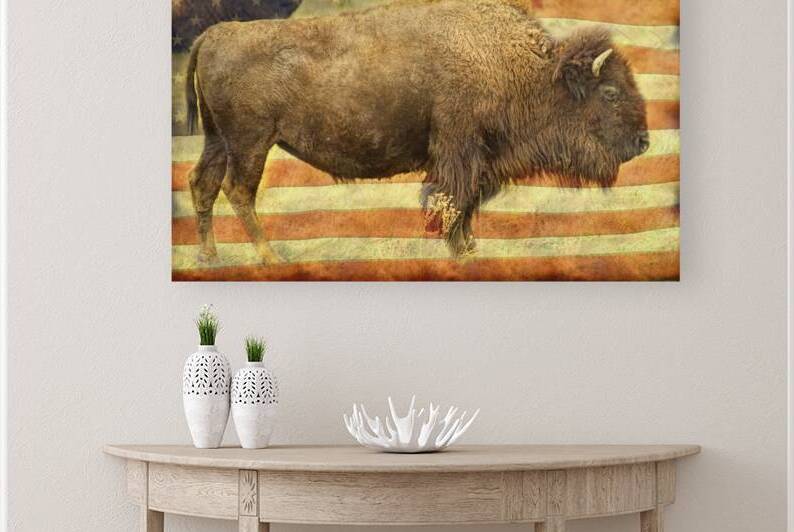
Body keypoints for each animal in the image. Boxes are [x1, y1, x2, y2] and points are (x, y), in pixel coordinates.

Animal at [185, 0, 649, 264]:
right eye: (609, 92)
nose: (644, 142)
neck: (523, 70)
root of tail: (215, 34)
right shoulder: (460, 151)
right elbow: (453, 201)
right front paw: (459, 251)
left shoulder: (477, 159)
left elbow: (466, 204)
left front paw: (470, 248)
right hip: (250, 143)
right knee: (238, 190)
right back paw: (270, 258)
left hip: (218, 140)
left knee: (201, 183)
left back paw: (209, 256)